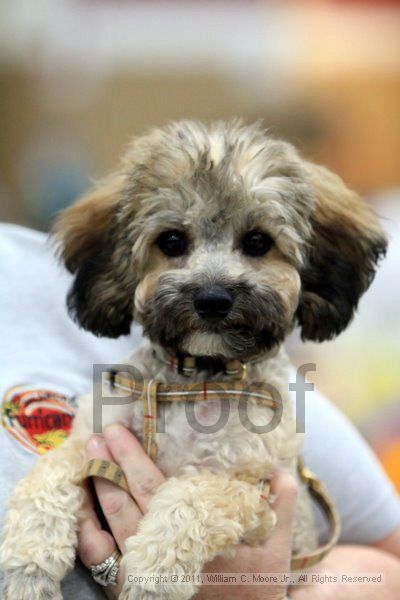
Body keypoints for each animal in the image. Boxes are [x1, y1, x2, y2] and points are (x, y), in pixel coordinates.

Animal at [0, 119, 388, 596]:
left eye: (258, 241)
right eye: (171, 240)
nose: (212, 299)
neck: (197, 375)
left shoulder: (247, 487)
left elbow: (189, 501)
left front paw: (154, 574)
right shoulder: (87, 443)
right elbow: (46, 480)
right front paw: (27, 566)